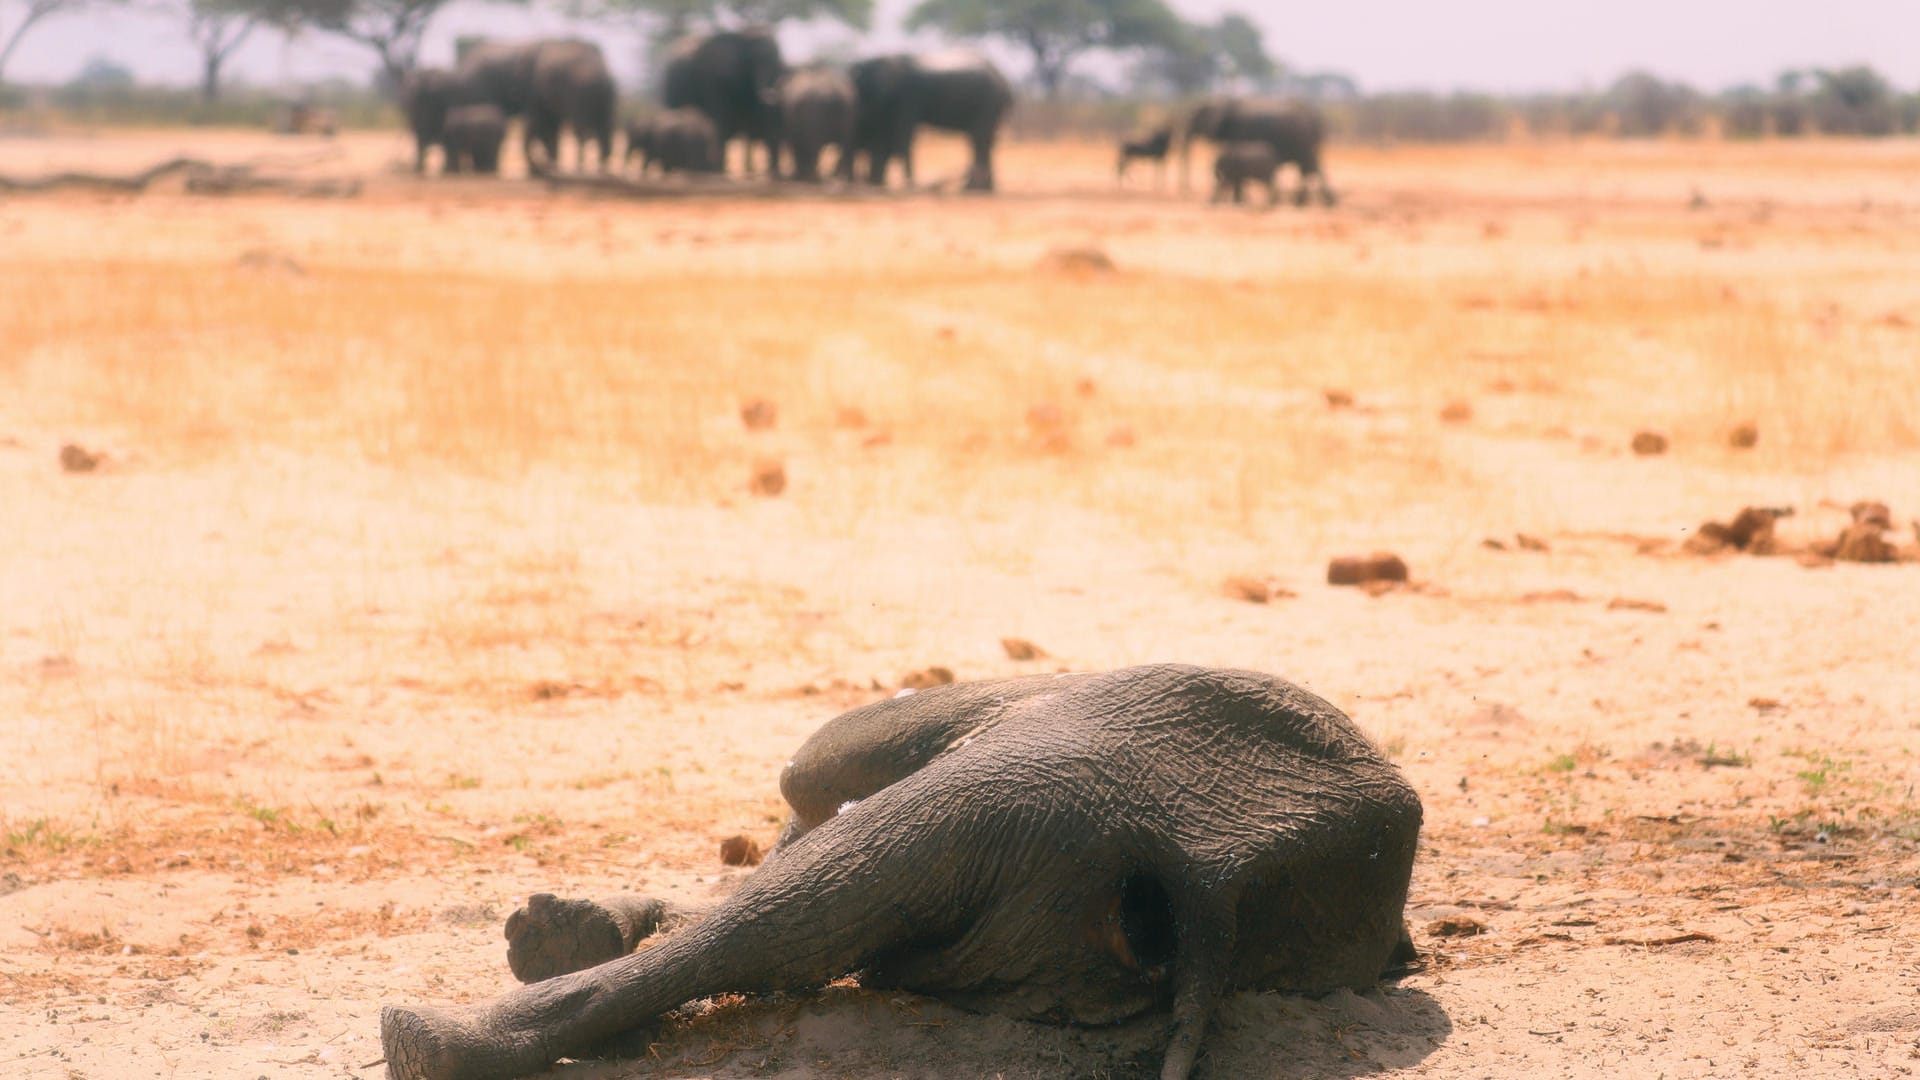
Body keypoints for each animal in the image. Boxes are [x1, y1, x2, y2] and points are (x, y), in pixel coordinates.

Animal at [660, 29, 779, 175]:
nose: (772, 94)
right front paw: (718, 170)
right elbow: (720, 119)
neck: (746, 35)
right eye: (754, 60)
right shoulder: (715, 80)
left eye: (778, 63)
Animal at [848, 48, 1013, 191]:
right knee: (984, 141)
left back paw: (972, 189)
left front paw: (910, 185)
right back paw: (982, 189)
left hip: (989, 101)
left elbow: (904, 134)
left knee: (979, 139)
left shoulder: (908, 97)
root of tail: (1003, 80)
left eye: (858, 87)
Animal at [1167, 95, 1336, 205]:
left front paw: (1238, 202)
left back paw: (1309, 203)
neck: (1222, 101)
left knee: (1308, 168)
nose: (1186, 190)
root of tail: (1316, 118)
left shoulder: (1238, 132)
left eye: (1195, 120)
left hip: (1301, 141)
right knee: (1310, 168)